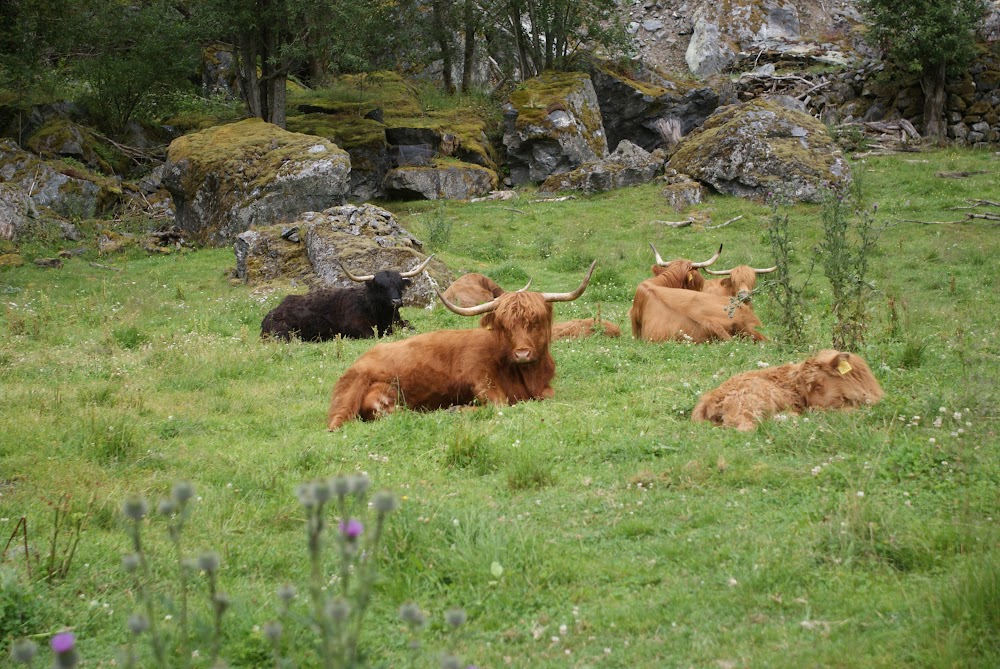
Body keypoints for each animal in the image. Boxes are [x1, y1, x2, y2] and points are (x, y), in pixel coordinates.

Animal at [260, 254, 432, 342]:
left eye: (399, 285)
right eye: (381, 287)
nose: (396, 302)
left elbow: (410, 327)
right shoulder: (357, 328)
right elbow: (373, 335)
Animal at [326, 260, 592, 428]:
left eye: (535, 321)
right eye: (504, 325)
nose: (523, 353)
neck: (526, 376)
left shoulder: (544, 388)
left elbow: (548, 395)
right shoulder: (480, 378)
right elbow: (500, 405)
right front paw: (459, 408)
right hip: (352, 388)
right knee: (339, 418)